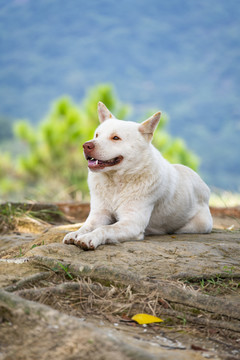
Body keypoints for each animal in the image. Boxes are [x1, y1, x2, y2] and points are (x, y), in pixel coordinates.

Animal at [62, 101, 213, 248]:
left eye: (115, 138)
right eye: (97, 135)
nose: (86, 145)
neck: (116, 183)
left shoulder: (132, 223)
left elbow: (105, 228)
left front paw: (89, 238)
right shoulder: (99, 214)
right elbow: (87, 226)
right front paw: (75, 233)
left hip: (199, 225)